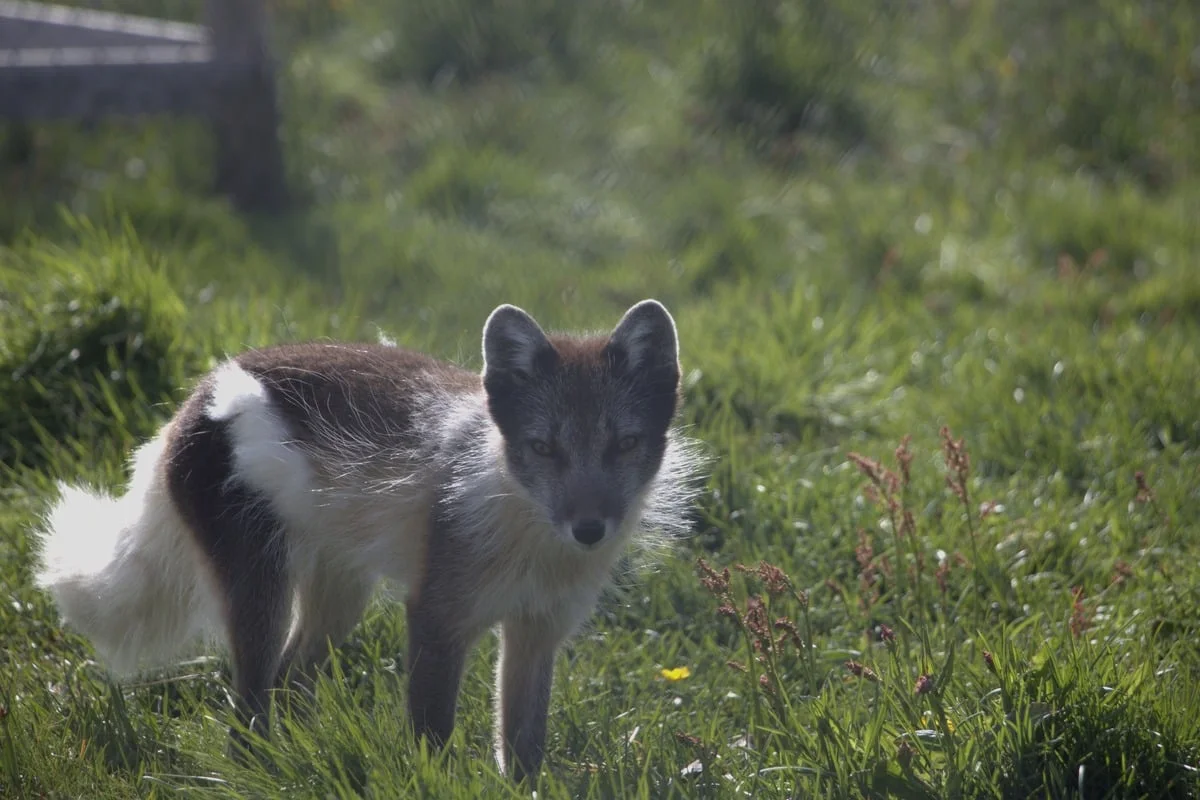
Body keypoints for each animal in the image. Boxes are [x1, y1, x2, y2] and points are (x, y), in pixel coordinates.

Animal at [32, 298, 702, 780]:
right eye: (543, 448)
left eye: (624, 445)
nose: (589, 529)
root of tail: (189, 403)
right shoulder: (436, 616)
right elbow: (432, 737)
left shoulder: (538, 632)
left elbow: (522, 747)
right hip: (263, 593)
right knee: (246, 715)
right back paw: (260, 772)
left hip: (340, 599)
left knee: (287, 682)